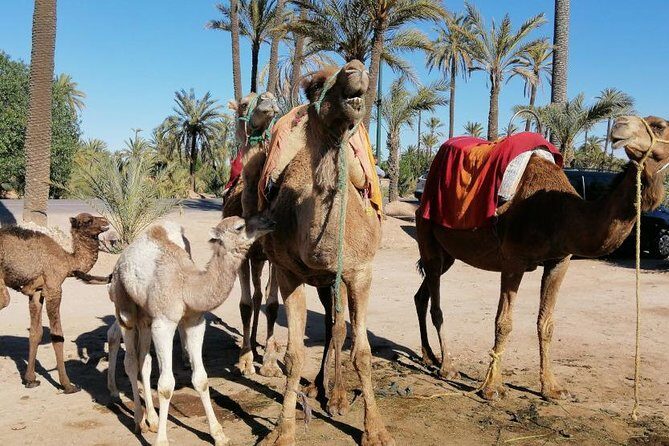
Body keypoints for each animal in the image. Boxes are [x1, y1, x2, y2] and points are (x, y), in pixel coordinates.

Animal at [0, 213, 109, 393]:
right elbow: (57, 336)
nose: (106, 222)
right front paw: (68, 385)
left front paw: (30, 380)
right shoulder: (54, 288)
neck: (68, 261)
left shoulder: (37, 292)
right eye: (88, 220)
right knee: (6, 300)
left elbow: (36, 333)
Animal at [109, 216, 274, 446]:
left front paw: (219, 434)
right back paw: (138, 420)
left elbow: (201, 379)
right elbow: (166, 385)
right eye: (240, 226)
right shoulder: (164, 323)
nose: (268, 221)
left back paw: (152, 419)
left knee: (144, 361)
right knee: (131, 361)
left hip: (146, 316)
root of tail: (124, 255)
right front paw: (162, 441)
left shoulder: (195, 321)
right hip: (125, 307)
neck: (187, 287)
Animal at [250, 60, 394, 446]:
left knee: (338, 328)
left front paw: (375, 430)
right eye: (314, 86)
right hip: (320, 281)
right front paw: (283, 431)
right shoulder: (289, 273)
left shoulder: (360, 272)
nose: (356, 70)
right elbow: (294, 356)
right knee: (331, 325)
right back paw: (319, 388)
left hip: (336, 279)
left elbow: (362, 353)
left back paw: (338, 396)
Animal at [414, 115, 669, 401]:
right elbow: (504, 322)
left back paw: (429, 356)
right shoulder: (513, 259)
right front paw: (492, 388)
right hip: (427, 235)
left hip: (448, 255)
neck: (561, 214)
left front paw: (552, 388)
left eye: (660, 126)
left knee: (422, 295)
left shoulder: (560, 260)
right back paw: (447, 366)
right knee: (436, 304)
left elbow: (546, 324)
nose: (620, 125)